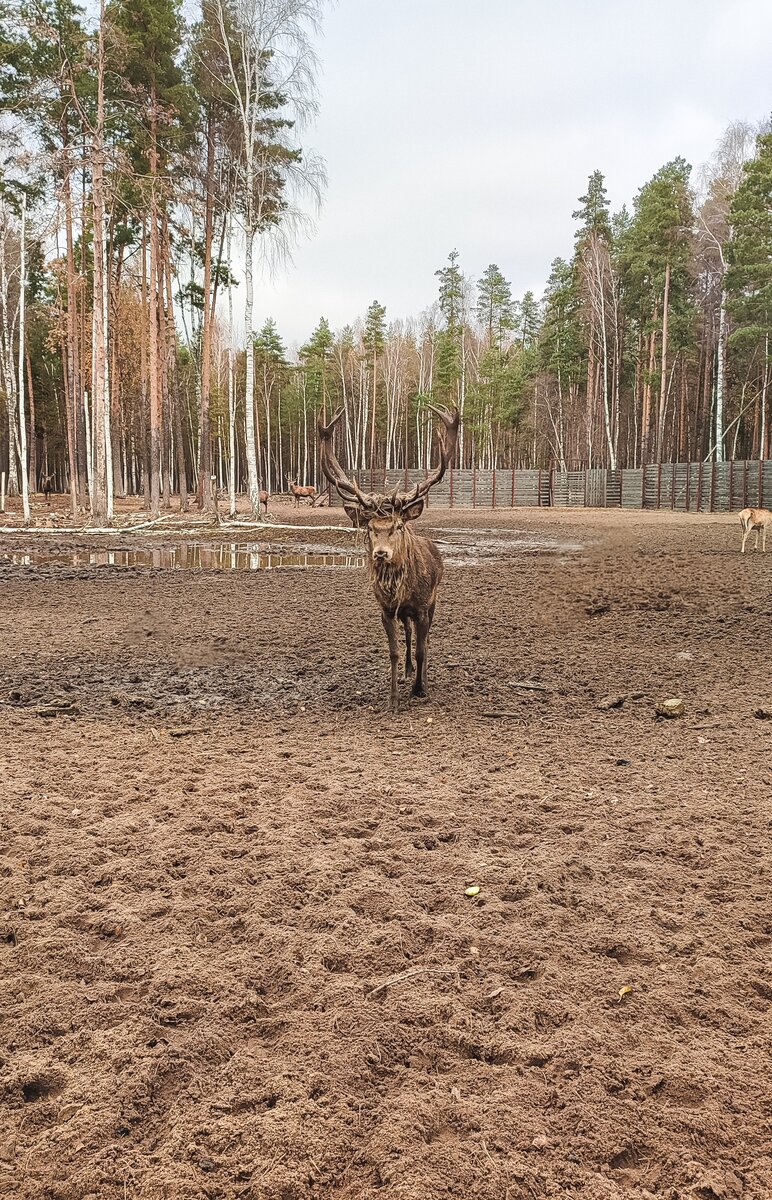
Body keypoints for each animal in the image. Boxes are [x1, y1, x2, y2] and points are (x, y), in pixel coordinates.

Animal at [319, 408, 458, 715]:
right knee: (408, 635)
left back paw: (421, 676)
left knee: (425, 639)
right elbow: (394, 651)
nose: (381, 553)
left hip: (434, 601)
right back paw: (408, 672)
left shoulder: (422, 606)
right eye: (371, 527)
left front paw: (420, 689)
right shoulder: (385, 609)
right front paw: (394, 698)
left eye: (397, 526)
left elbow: (422, 648)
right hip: (404, 613)